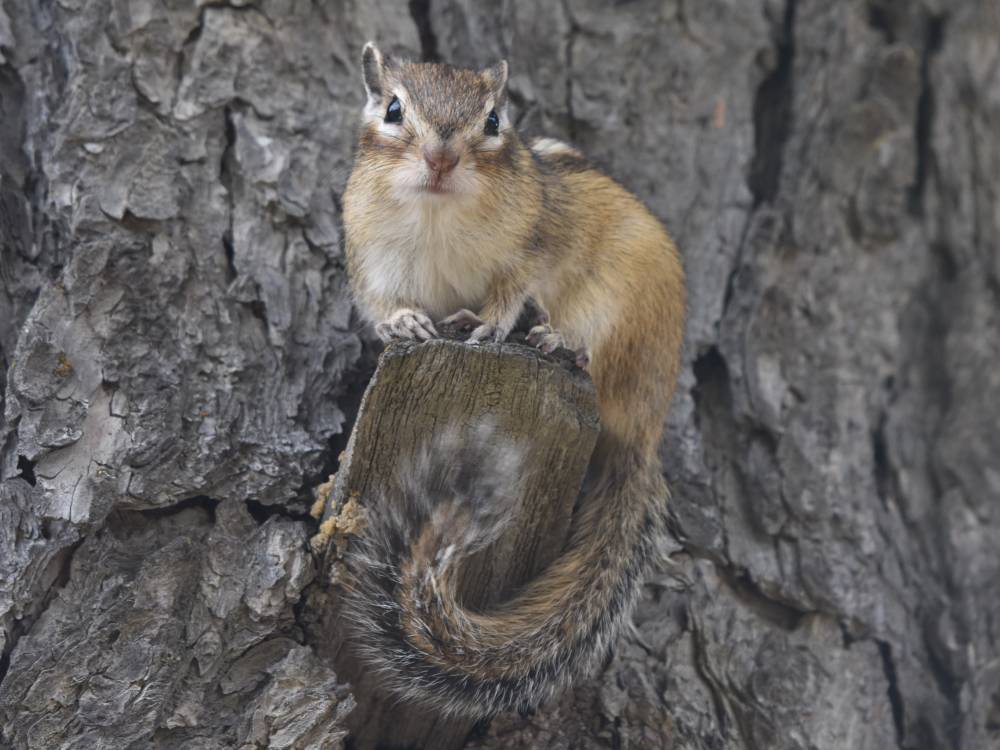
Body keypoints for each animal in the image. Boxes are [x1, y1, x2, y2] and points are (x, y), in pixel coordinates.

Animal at [340, 43, 686, 717]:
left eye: (494, 120)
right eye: (393, 109)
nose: (441, 158)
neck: (437, 214)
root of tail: (645, 429)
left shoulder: (533, 246)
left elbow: (509, 293)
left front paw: (488, 322)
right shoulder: (371, 265)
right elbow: (386, 304)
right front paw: (404, 324)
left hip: (618, 311)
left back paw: (555, 340)